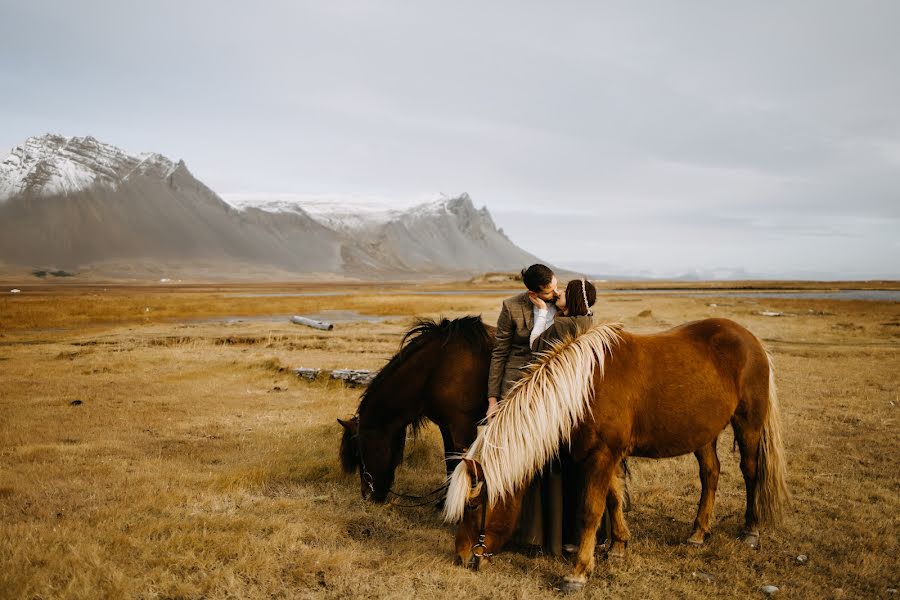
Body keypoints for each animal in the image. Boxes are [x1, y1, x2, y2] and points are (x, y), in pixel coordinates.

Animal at [338, 316, 492, 504]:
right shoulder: (446, 425)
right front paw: (444, 502)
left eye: (359, 452)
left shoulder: (463, 427)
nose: (367, 495)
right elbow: (450, 461)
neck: (437, 368)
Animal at [446, 318, 792, 592]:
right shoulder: (608, 456)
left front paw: (578, 573)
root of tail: (750, 339)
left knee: (750, 471)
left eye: (474, 506)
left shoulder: (601, 456)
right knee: (711, 473)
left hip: (748, 423)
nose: (462, 557)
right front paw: (618, 547)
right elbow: (613, 499)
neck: (583, 390)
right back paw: (697, 533)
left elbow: (590, 511)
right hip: (703, 433)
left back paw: (750, 530)